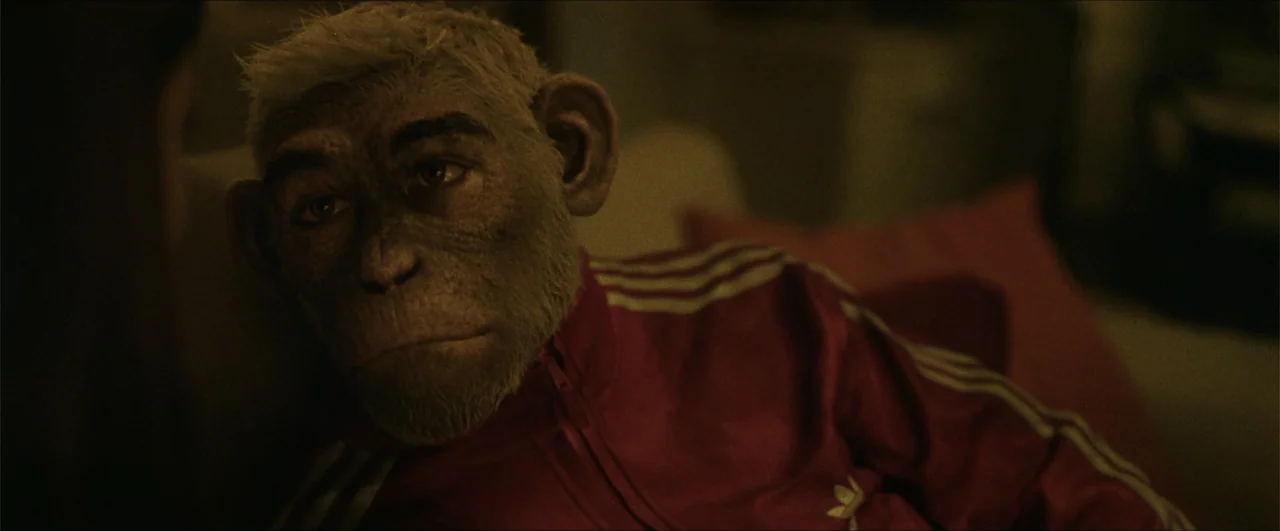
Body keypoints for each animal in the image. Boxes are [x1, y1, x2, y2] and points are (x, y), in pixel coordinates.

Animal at [227, 3, 1193, 529]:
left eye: (435, 175)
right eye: (318, 213)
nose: (385, 270)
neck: (560, 395)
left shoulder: (809, 296)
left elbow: (1043, 459)